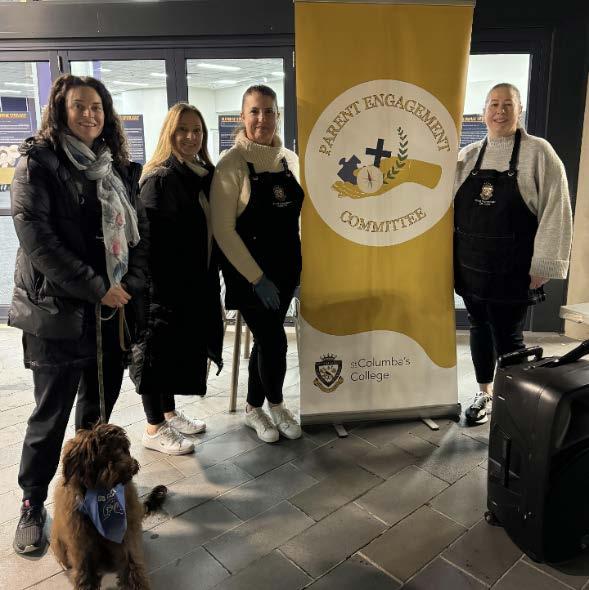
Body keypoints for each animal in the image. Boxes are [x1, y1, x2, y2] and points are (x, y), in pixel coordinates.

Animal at [51, 423, 167, 590]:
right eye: (103, 455)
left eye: (122, 448)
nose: (131, 467)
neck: (100, 493)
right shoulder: (79, 537)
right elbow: (83, 565)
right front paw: (85, 584)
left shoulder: (125, 531)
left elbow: (130, 559)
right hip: (59, 541)